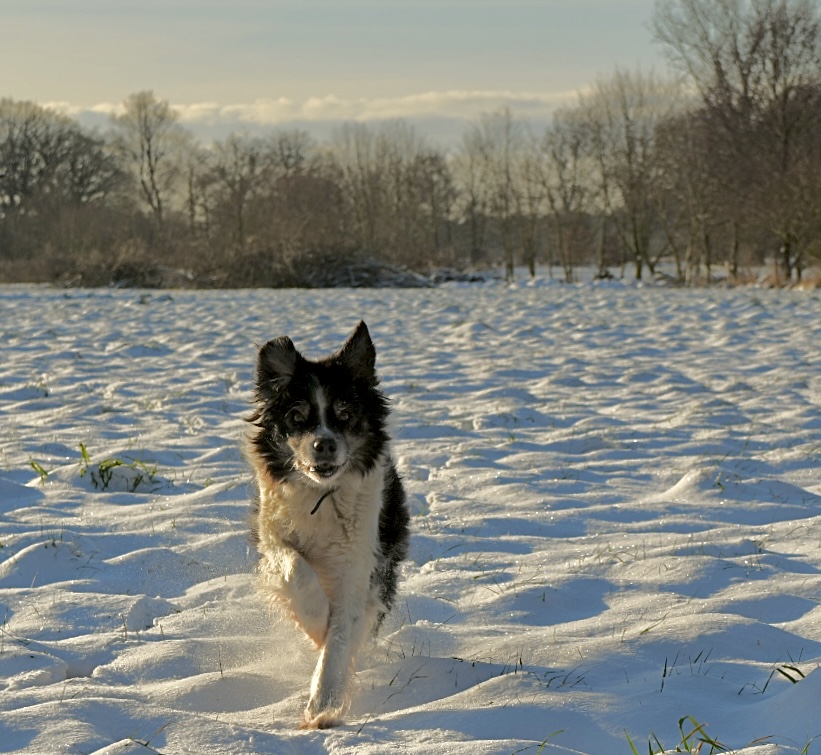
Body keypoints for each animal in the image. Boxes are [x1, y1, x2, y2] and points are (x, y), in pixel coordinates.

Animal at [245, 322, 408, 728]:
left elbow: (339, 640)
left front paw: (324, 705)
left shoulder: (358, 564)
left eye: (345, 415)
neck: (323, 493)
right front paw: (316, 621)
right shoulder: (273, 537)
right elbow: (295, 568)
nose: (324, 445)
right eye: (297, 417)